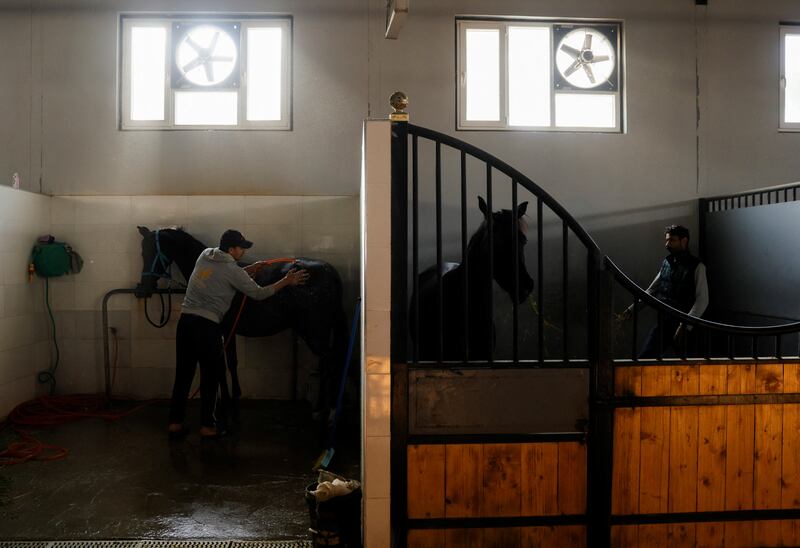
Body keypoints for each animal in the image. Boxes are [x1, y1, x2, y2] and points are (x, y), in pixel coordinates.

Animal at [136, 225, 348, 418]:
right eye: (143, 252)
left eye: (152, 252)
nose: (143, 288)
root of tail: (329, 271)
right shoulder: (230, 329)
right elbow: (232, 362)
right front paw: (235, 395)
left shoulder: (221, 330)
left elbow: (221, 364)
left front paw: (224, 402)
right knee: (326, 364)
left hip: (315, 333)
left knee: (332, 363)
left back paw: (328, 409)